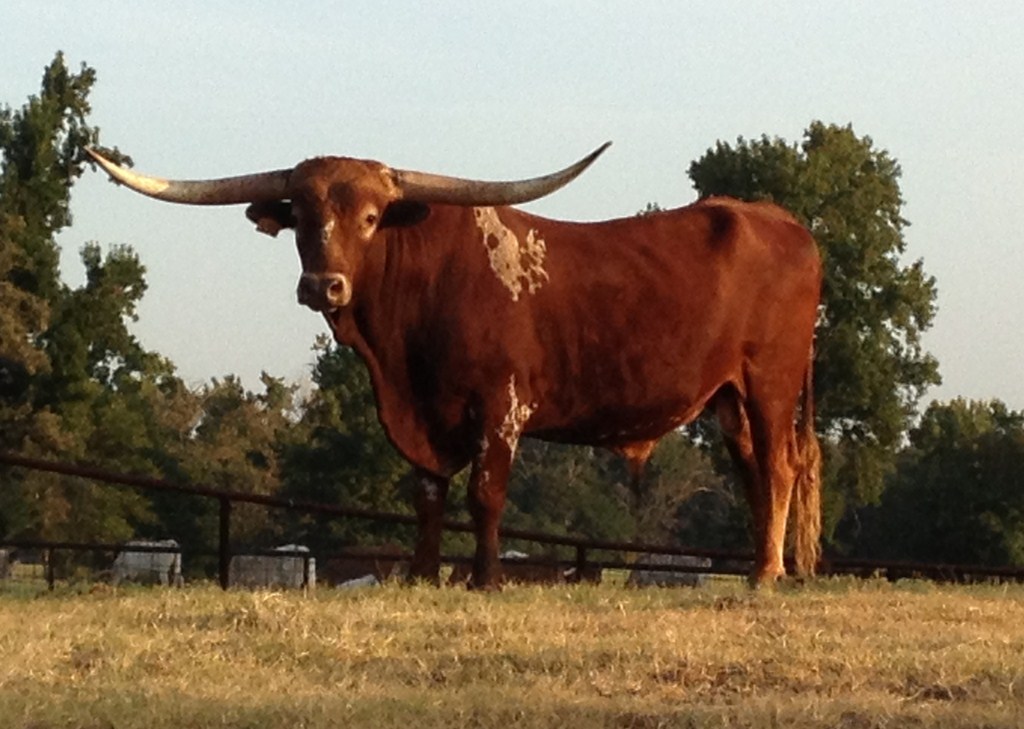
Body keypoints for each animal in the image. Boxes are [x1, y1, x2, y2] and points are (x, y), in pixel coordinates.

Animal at [87, 143, 822, 589]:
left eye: (372, 216)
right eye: (301, 215)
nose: (323, 285)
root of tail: (784, 222)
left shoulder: (500, 406)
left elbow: (484, 493)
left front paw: (485, 578)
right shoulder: (418, 414)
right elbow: (429, 494)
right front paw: (421, 572)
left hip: (771, 381)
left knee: (780, 466)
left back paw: (765, 573)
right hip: (728, 396)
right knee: (755, 471)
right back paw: (769, 566)